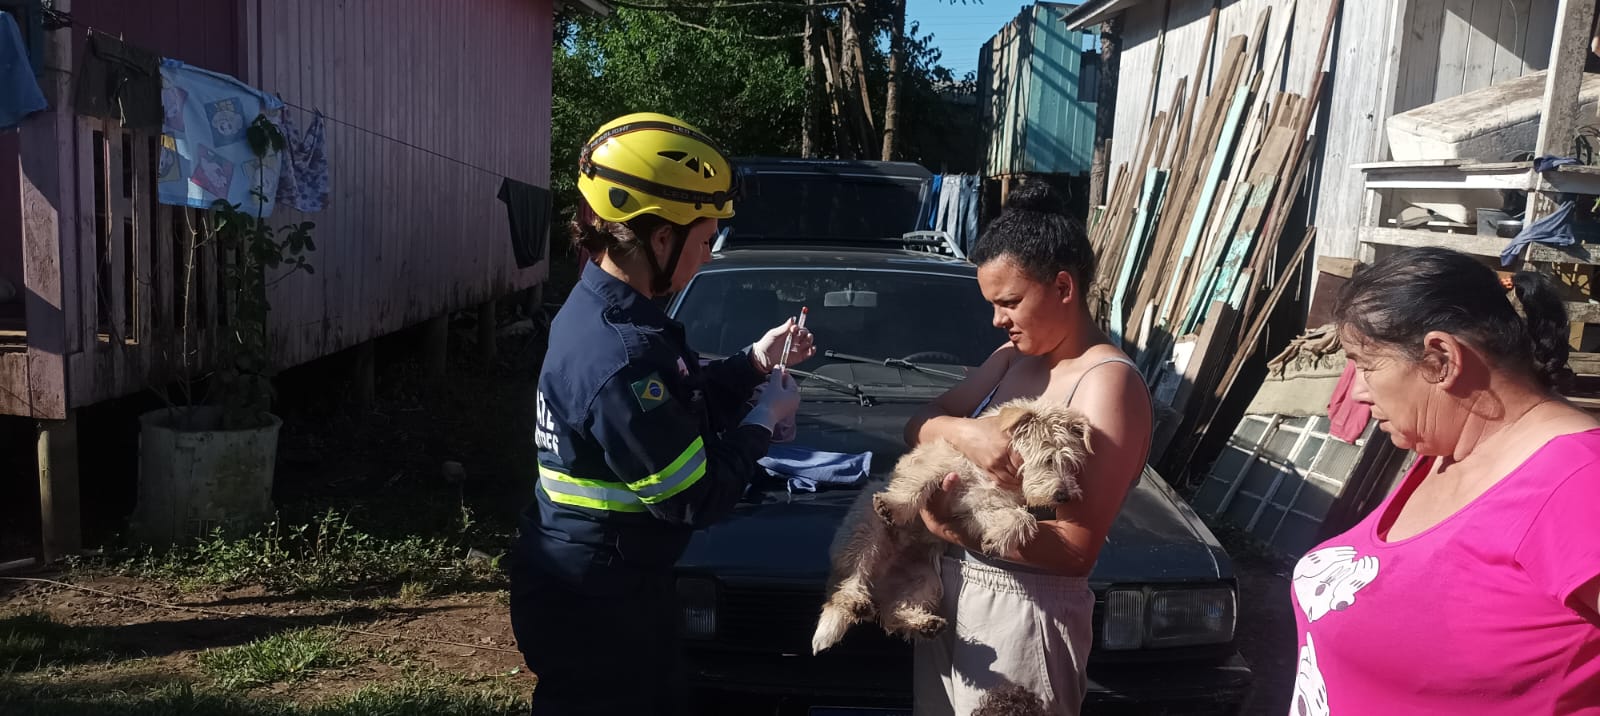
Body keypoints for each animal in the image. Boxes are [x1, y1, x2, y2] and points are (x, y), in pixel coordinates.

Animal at [812, 396, 1088, 655]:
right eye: (1048, 459)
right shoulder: (937, 466)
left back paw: (923, 623)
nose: (1064, 496)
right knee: (848, 582)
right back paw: (855, 601)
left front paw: (998, 539)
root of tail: (880, 579)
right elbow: (918, 484)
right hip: (864, 536)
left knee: (892, 613)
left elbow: (1022, 518)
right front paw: (895, 505)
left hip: (926, 579)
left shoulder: (983, 506)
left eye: (1071, 463)